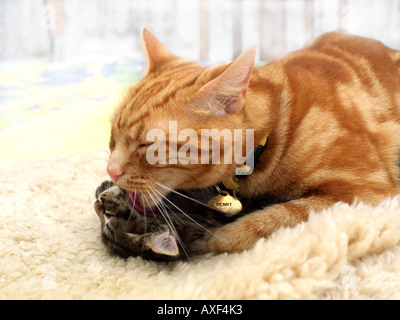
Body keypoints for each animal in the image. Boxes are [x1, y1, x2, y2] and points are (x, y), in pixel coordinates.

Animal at [104, 28, 400, 256]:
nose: (111, 171)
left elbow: (266, 222)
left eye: (147, 146)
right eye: (112, 136)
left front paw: (206, 240)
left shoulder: (362, 193)